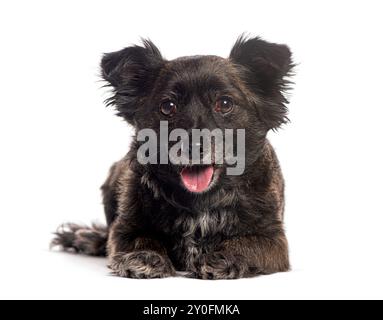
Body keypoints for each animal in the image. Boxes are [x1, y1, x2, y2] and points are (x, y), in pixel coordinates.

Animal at [52, 35, 296, 278]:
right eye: (168, 106)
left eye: (225, 103)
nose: (193, 146)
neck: (202, 200)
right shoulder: (125, 228)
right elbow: (138, 238)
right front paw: (145, 256)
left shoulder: (274, 240)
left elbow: (246, 244)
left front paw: (223, 257)